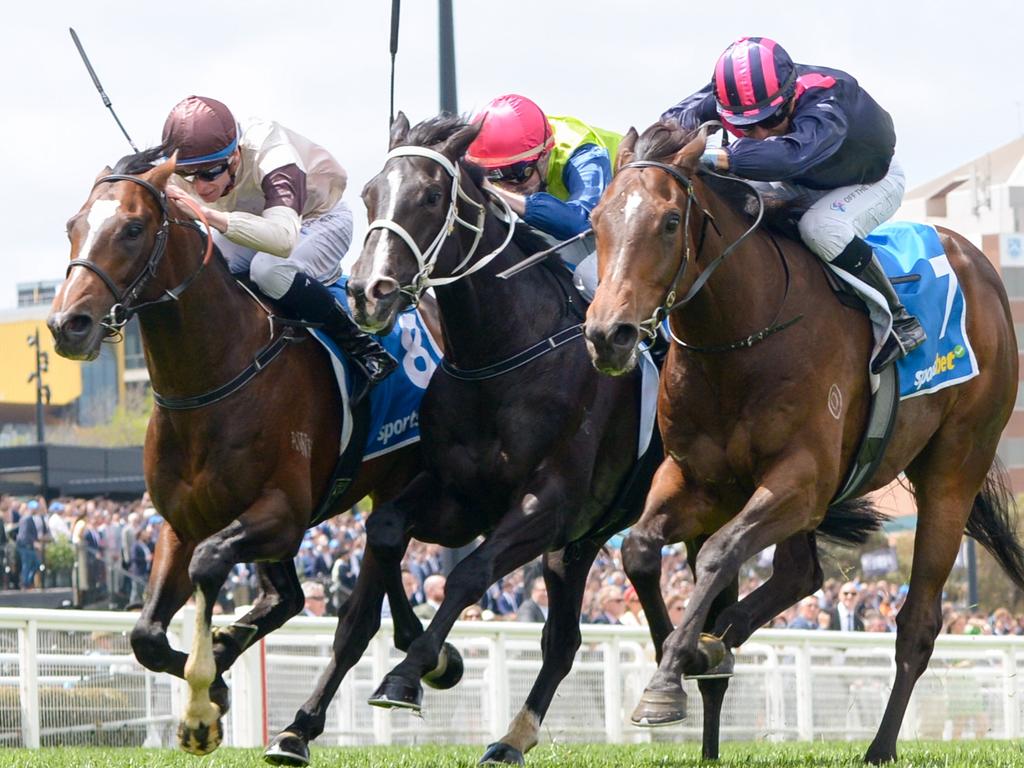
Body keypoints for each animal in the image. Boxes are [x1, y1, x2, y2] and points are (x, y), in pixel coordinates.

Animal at [44, 148, 452, 757]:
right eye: (72, 226)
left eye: (133, 228)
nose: (68, 325)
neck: (215, 376)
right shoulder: (180, 522)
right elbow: (145, 635)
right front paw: (216, 680)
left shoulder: (281, 514)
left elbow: (211, 563)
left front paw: (201, 704)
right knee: (300, 594)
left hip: (397, 479)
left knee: (357, 608)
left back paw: (302, 723)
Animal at [296, 111, 659, 765]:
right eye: (369, 194)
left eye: (430, 196)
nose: (367, 291)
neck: (501, 356)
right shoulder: (458, 497)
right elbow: (385, 529)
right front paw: (429, 659)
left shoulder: (547, 504)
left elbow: (468, 575)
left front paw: (408, 675)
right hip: (582, 543)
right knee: (568, 637)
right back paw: (516, 737)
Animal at [581, 120, 1024, 765]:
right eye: (596, 219)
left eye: (668, 221)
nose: (607, 335)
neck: (741, 336)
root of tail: (983, 269)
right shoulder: (696, 480)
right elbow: (638, 548)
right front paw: (687, 655)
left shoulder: (804, 481)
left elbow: (719, 553)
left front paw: (671, 676)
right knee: (800, 574)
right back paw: (721, 639)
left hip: (953, 470)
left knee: (917, 621)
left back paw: (879, 746)